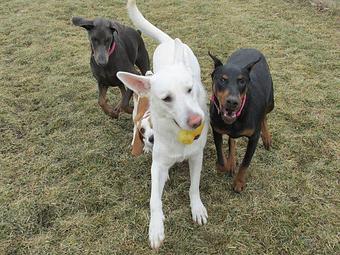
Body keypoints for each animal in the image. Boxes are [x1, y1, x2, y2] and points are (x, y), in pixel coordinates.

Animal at [117, 0, 209, 249]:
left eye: (190, 89)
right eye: (167, 98)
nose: (198, 121)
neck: (177, 134)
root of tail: (168, 42)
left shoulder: (197, 157)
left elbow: (194, 186)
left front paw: (197, 207)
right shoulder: (157, 164)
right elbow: (153, 200)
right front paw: (156, 227)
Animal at [209, 47, 274, 192]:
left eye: (242, 81)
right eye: (222, 79)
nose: (232, 102)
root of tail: (251, 48)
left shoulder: (254, 137)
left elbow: (245, 163)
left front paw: (239, 182)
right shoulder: (216, 129)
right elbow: (220, 156)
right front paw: (225, 165)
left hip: (270, 102)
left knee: (264, 116)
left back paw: (266, 138)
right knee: (232, 139)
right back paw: (232, 161)